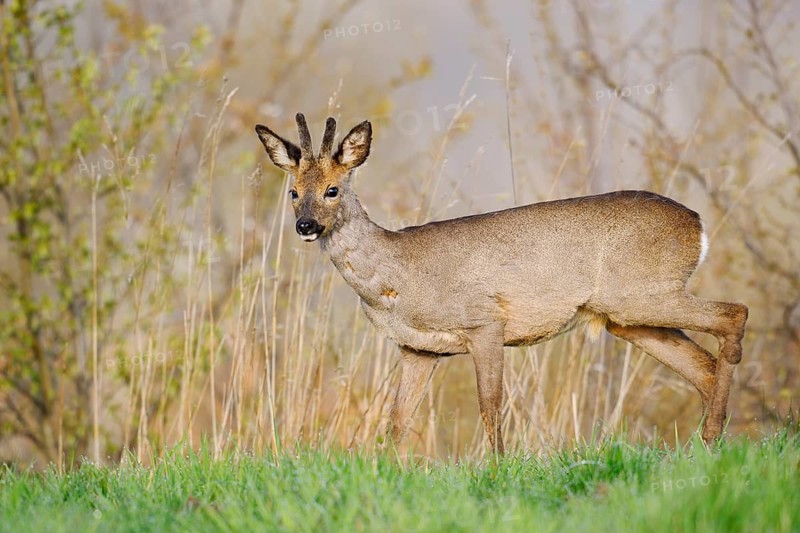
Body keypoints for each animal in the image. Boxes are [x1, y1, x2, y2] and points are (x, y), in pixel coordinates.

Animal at [254, 113, 748, 454]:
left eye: (332, 189)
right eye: (293, 192)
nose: (305, 226)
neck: (395, 278)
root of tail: (698, 224)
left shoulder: (485, 323)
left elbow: (490, 406)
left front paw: (496, 466)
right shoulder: (416, 348)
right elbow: (397, 418)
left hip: (642, 294)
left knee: (734, 313)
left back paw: (714, 436)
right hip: (628, 317)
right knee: (703, 366)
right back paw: (709, 442)